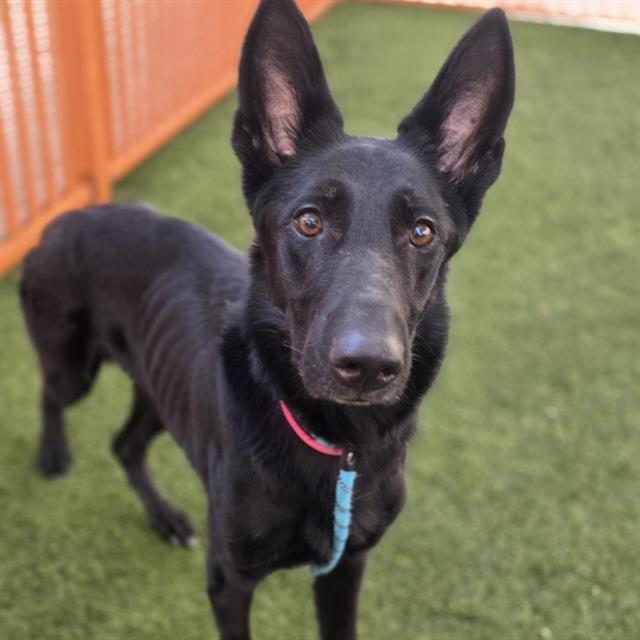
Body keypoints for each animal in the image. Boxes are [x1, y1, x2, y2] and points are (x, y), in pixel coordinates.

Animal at [20, 1, 514, 638]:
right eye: (309, 221)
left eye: (422, 232)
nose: (368, 367)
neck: (337, 444)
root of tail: (61, 219)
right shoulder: (229, 580)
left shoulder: (345, 567)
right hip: (72, 365)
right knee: (52, 396)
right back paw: (54, 456)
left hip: (158, 388)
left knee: (125, 445)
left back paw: (166, 518)